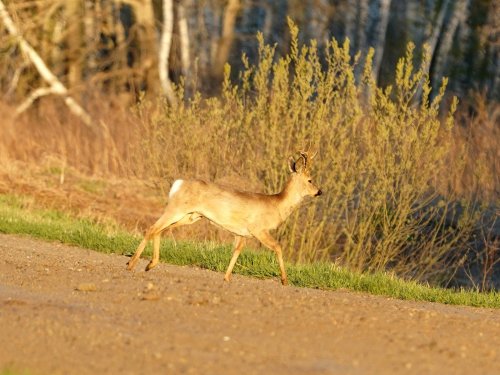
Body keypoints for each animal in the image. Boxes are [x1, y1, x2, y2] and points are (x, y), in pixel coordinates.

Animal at [127, 151, 322, 286]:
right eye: (310, 179)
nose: (319, 191)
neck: (277, 205)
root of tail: (178, 183)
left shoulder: (242, 233)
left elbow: (236, 251)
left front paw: (227, 277)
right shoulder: (258, 229)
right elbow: (278, 247)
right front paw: (284, 280)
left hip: (190, 216)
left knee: (160, 230)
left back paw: (149, 264)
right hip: (176, 208)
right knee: (152, 228)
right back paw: (131, 264)